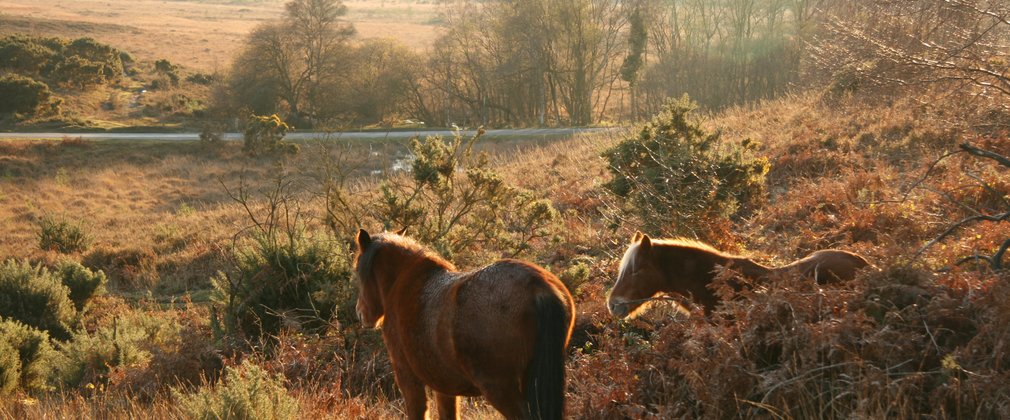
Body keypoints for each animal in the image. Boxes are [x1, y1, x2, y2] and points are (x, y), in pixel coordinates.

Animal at [355, 230, 577, 420]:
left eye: (358, 270)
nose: (361, 313)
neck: (402, 283)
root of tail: (538, 287)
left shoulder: (408, 379)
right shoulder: (444, 387)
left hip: (501, 388)